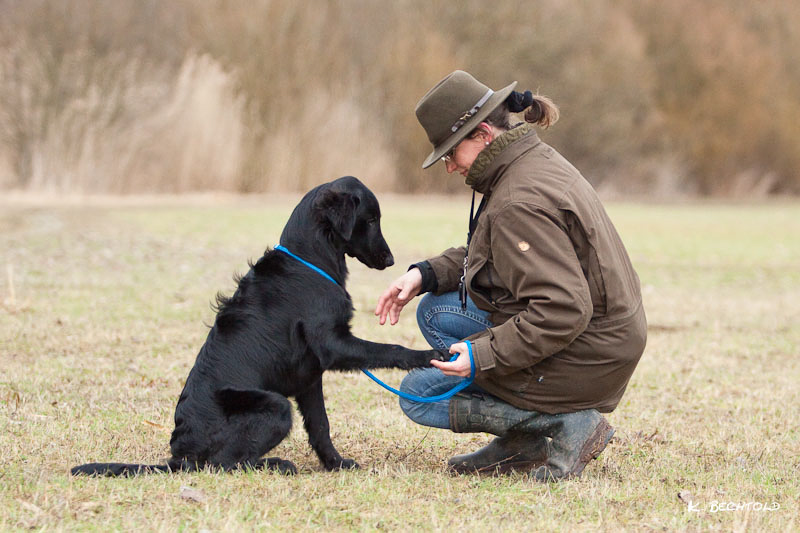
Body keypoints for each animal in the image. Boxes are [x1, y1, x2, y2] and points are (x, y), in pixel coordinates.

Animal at [72, 177, 446, 476]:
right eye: (370, 219)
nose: (391, 260)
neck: (310, 260)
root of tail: (180, 457)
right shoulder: (332, 345)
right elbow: (390, 349)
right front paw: (428, 355)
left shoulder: (310, 378)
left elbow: (320, 427)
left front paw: (336, 464)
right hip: (274, 406)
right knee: (222, 463)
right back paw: (276, 464)